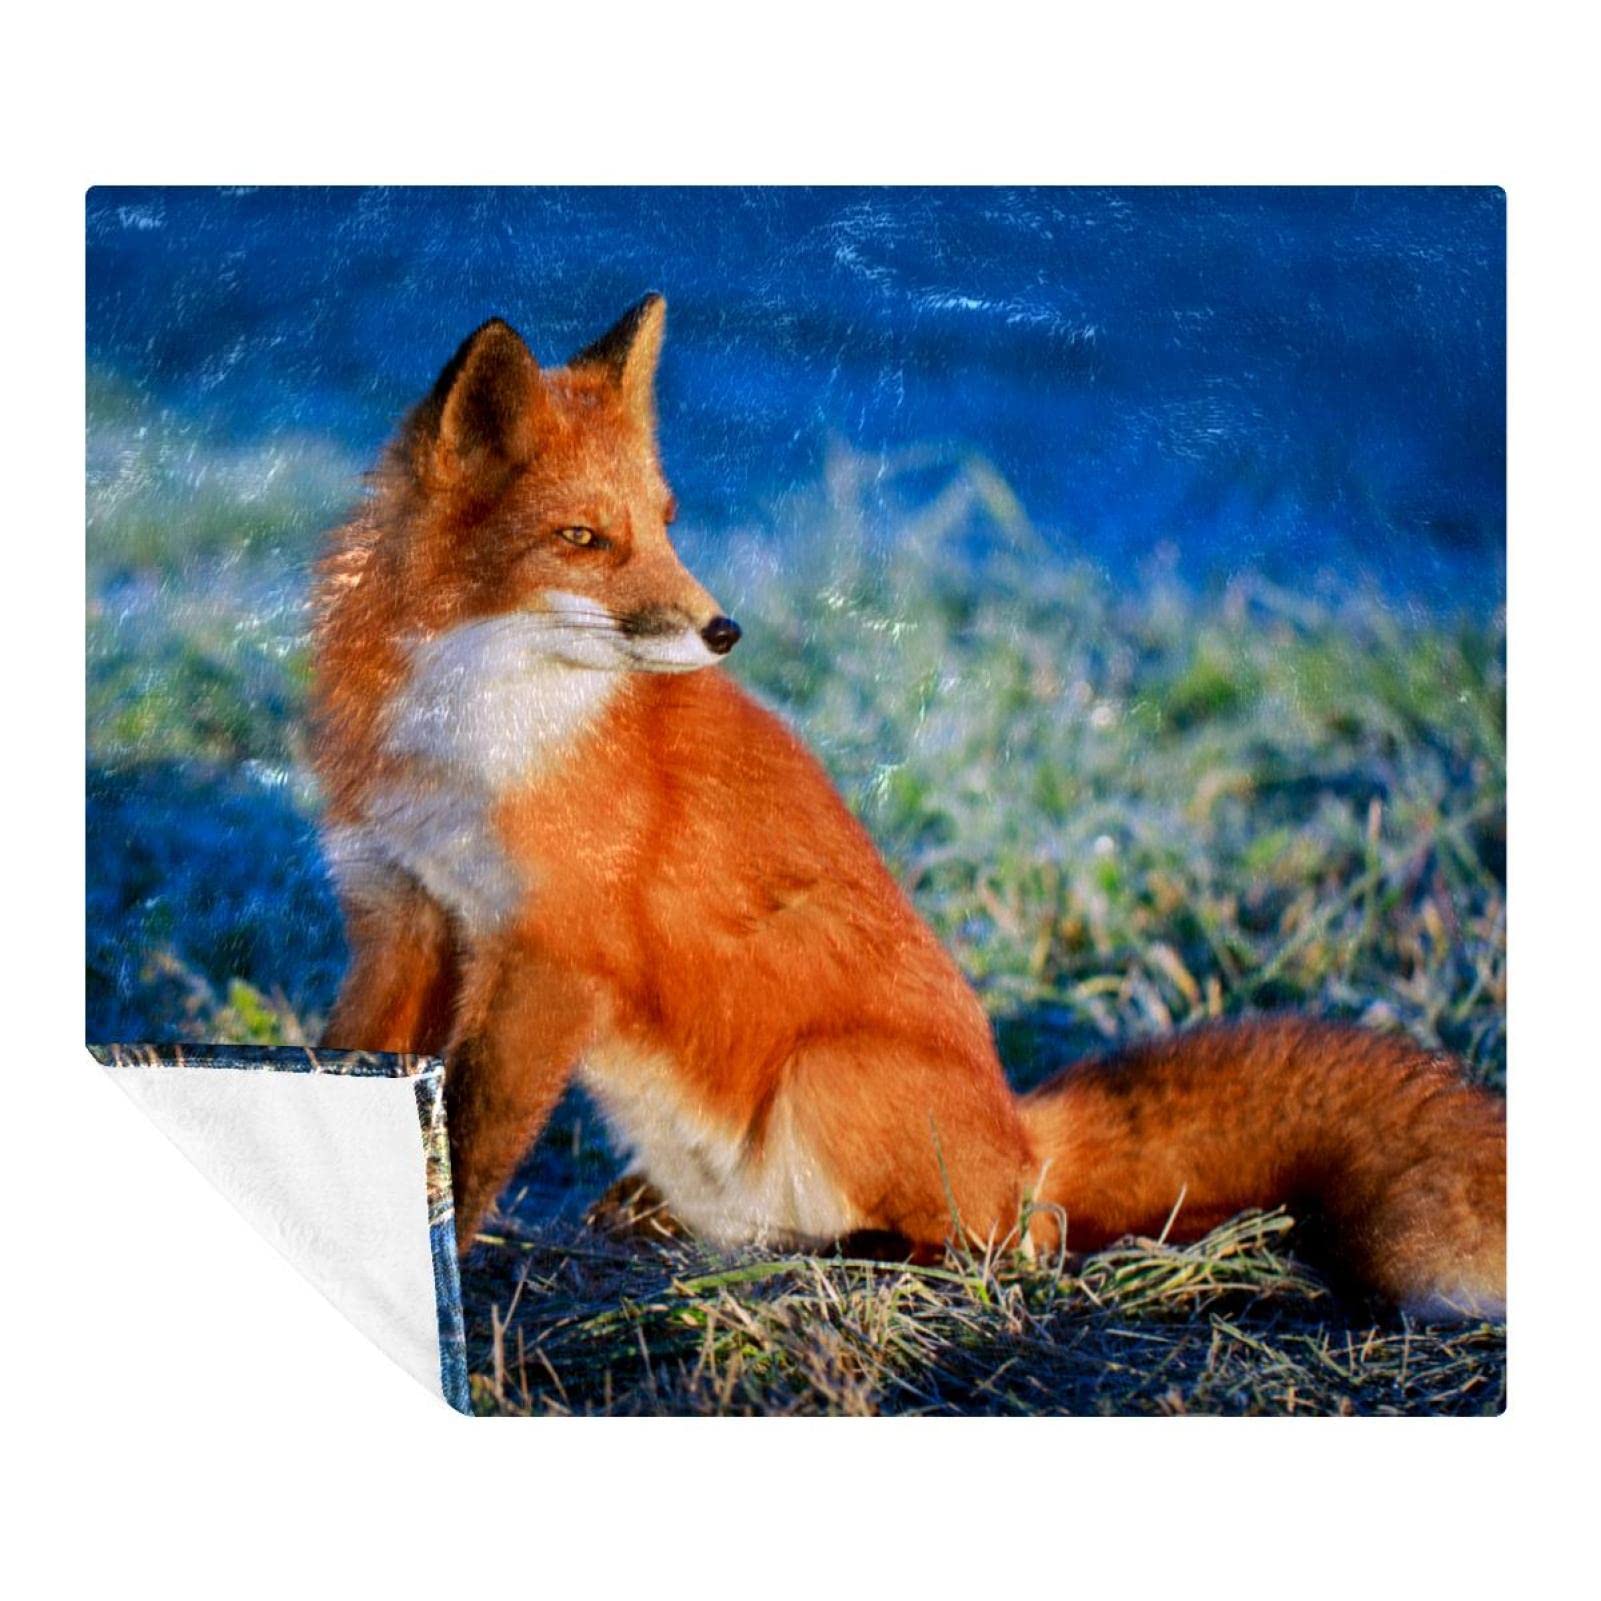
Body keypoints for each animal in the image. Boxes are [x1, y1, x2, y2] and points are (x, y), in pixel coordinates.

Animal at [312, 295, 1506, 1320]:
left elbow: (471, 1142)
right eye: (581, 538)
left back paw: (869, 1257)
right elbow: (354, 1067)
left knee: (1010, 1245)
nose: (722, 630)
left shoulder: (550, 958)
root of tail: (1022, 1132)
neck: (468, 743)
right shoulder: (402, 915)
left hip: (824, 1074)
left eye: (663, 522)